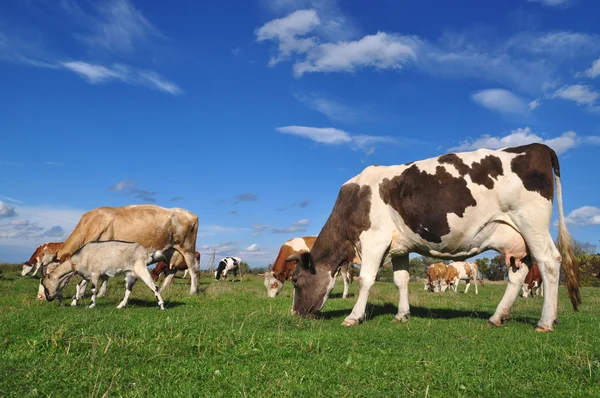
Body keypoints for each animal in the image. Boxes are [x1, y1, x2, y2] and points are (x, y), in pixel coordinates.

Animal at [42, 205, 203, 296]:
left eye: (48, 277)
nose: (42, 297)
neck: (91, 223)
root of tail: (190, 214)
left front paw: (92, 294)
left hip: (187, 248)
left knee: (193, 269)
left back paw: (192, 292)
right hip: (170, 251)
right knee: (170, 271)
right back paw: (162, 290)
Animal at [288, 143, 580, 332]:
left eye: (297, 281)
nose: (294, 314)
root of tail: (536, 146)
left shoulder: (374, 239)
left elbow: (366, 280)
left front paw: (353, 317)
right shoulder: (399, 246)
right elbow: (401, 280)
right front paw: (402, 315)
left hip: (532, 224)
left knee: (549, 262)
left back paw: (545, 322)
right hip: (516, 237)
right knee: (519, 274)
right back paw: (498, 317)